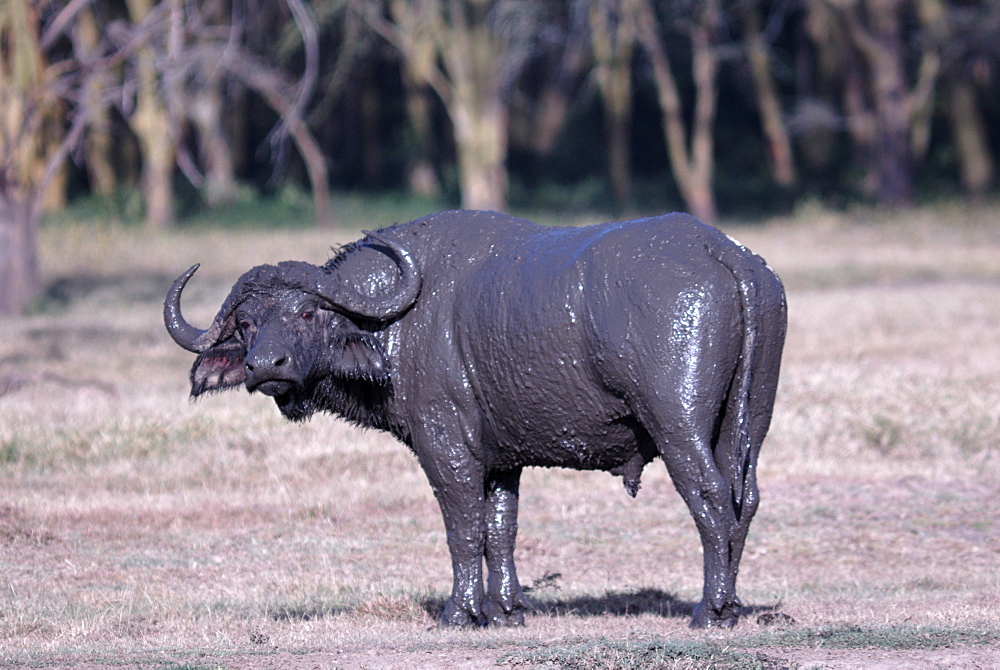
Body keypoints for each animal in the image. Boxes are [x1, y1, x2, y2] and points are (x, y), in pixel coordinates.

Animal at [166, 210, 788, 632]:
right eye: (246, 323)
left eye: (307, 312)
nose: (263, 366)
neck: (398, 323)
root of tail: (722, 252)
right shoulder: (503, 459)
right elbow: (501, 528)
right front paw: (508, 609)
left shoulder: (447, 446)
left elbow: (462, 527)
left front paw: (460, 611)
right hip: (747, 422)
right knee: (746, 498)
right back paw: (731, 604)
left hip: (677, 423)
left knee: (710, 495)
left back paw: (710, 609)